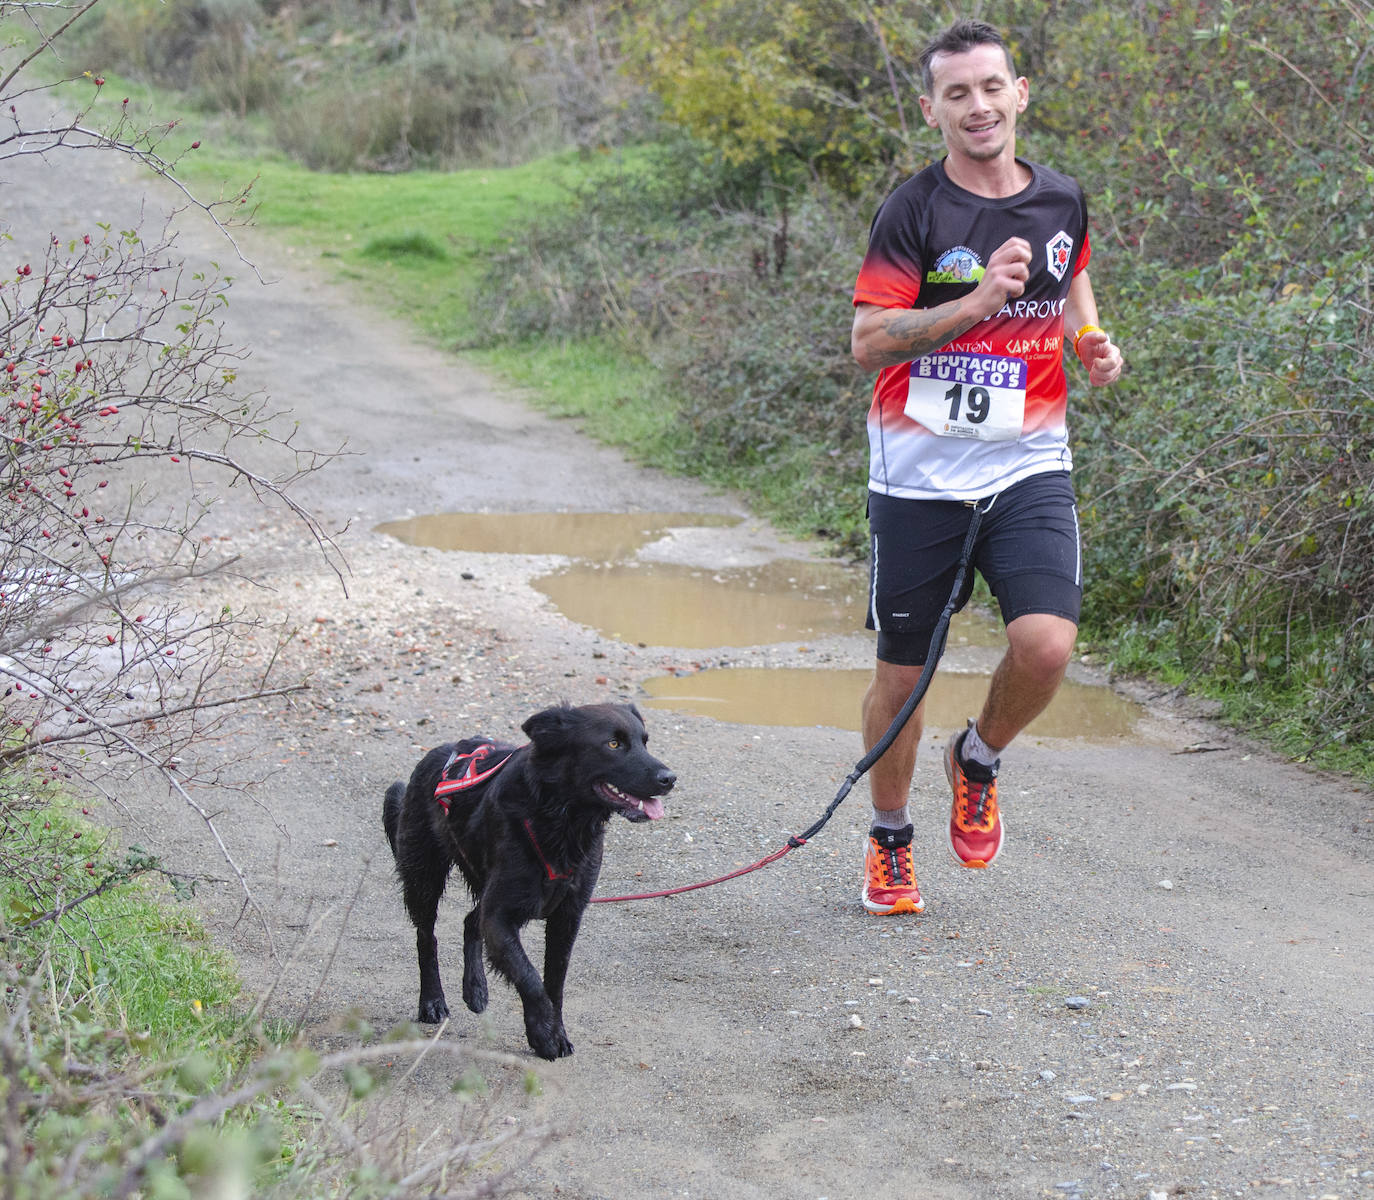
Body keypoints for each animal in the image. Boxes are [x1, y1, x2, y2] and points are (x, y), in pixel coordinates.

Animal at [381, 701, 676, 1055]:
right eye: (614, 743)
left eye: (645, 741)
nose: (670, 778)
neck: (560, 819)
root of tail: (436, 754)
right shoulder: (501, 915)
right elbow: (531, 979)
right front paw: (542, 1035)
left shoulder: (566, 915)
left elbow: (554, 982)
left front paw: (555, 1031)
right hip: (424, 875)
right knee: (427, 937)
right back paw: (432, 1001)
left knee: (470, 921)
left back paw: (475, 989)